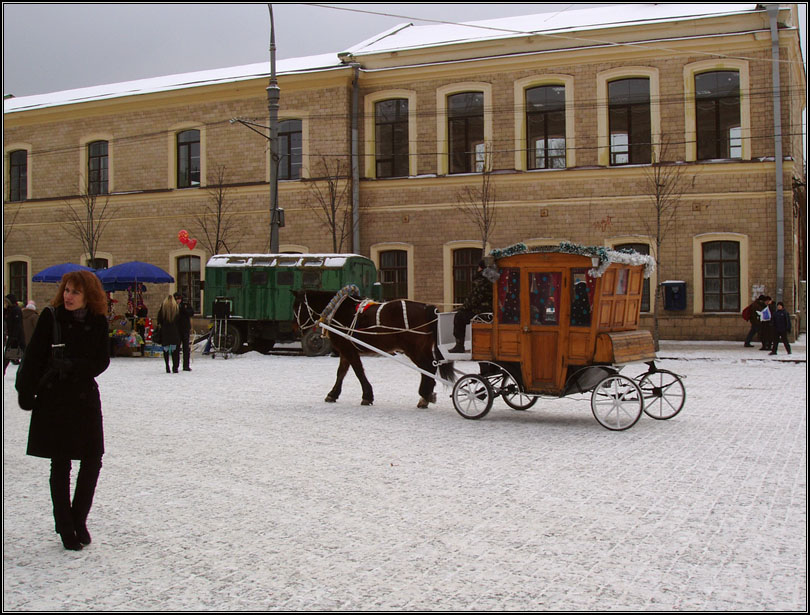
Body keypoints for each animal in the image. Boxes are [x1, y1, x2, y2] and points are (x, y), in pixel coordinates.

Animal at [292, 288, 454, 410]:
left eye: (296, 307)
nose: (295, 328)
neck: (338, 310)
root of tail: (427, 307)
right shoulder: (346, 349)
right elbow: (341, 372)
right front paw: (333, 394)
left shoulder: (347, 349)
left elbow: (358, 371)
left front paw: (367, 395)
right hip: (422, 348)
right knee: (430, 368)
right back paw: (427, 395)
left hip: (413, 349)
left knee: (427, 368)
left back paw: (425, 396)